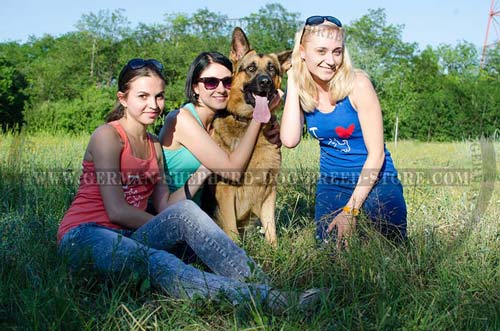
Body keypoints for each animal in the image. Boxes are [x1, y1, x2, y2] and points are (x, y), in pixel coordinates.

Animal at [202, 28, 290, 246]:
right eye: (251, 68)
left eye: (272, 69)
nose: (265, 82)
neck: (249, 124)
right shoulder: (225, 192)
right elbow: (232, 232)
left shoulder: (269, 191)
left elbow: (271, 229)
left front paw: (274, 250)